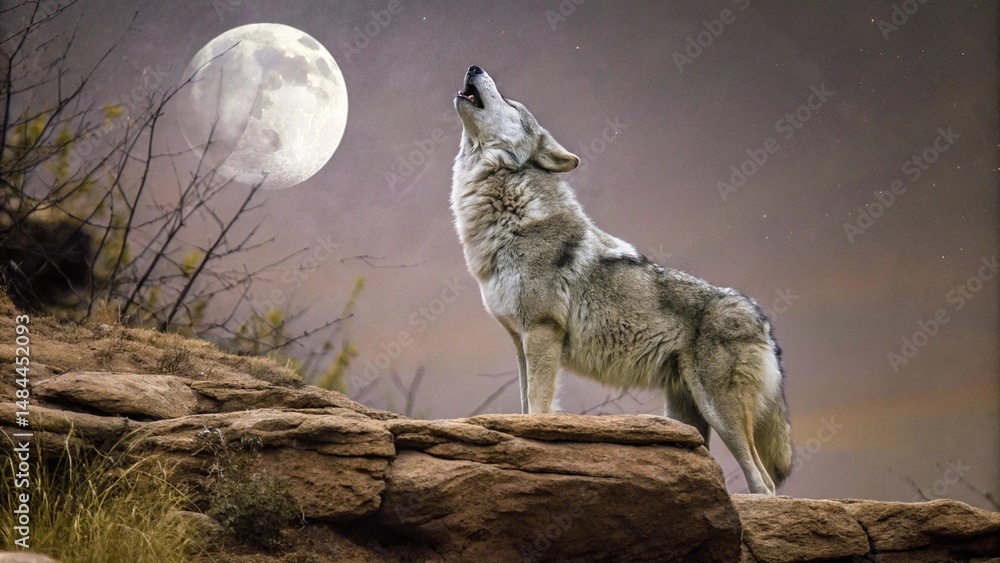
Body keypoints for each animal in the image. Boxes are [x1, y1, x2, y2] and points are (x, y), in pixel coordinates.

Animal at [450, 65, 792, 495]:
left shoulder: (542, 332)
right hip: (687, 415)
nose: (473, 67)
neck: (509, 213)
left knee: (765, 483)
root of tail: (760, 315)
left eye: (511, 104)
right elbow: (526, 405)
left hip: (721, 412)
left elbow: (539, 408)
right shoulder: (519, 340)